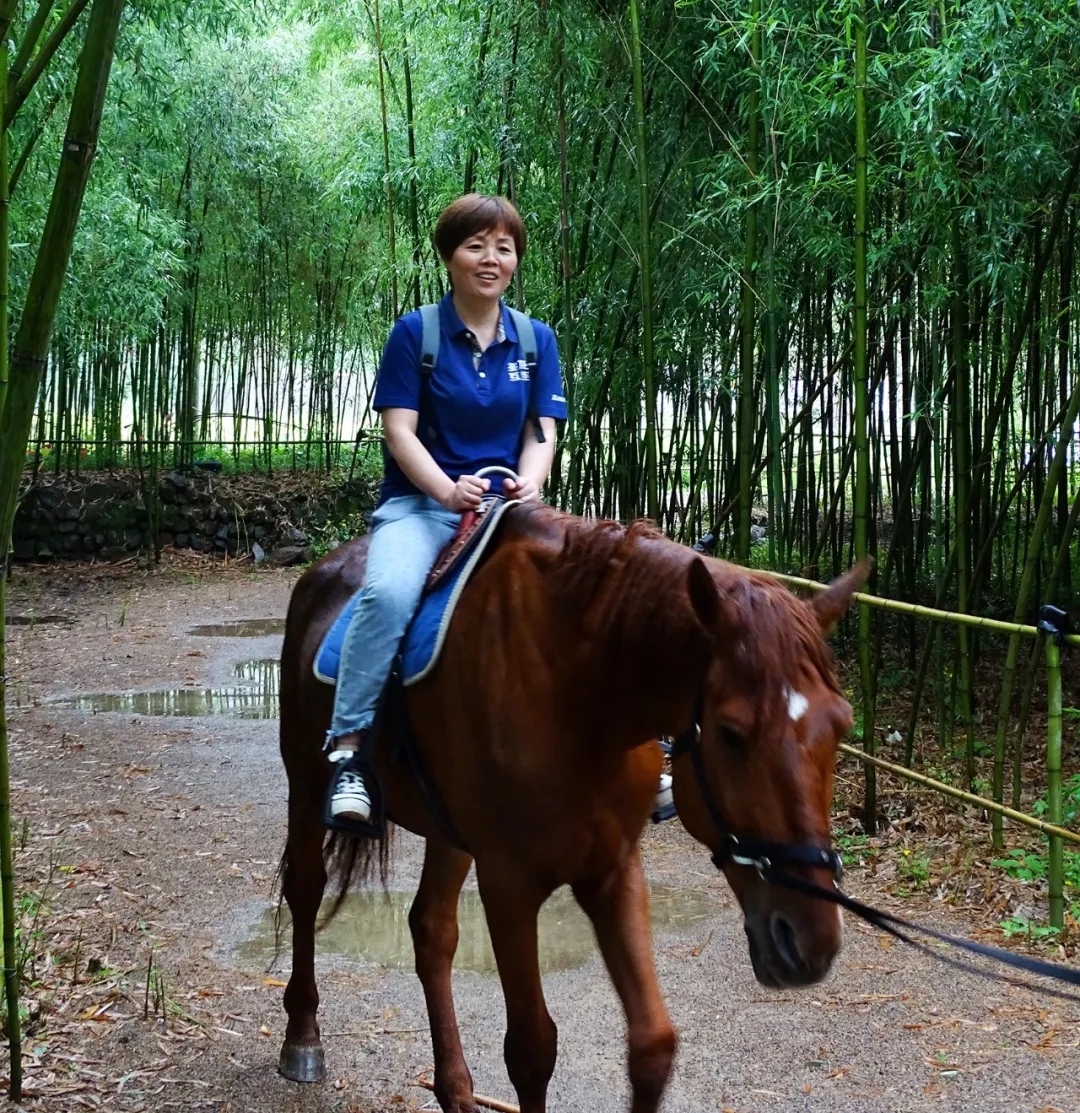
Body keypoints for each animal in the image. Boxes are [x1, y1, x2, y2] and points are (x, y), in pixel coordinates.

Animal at [276, 501, 867, 1113]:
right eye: (731, 734)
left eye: (841, 725)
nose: (810, 940)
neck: (579, 697)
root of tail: (324, 570)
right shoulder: (508, 884)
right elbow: (532, 1050)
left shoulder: (613, 867)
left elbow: (653, 1045)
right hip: (305, 780)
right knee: (306, 888)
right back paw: (302, 1040)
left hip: (448, 831)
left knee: (431, 929)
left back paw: (456, 1088)